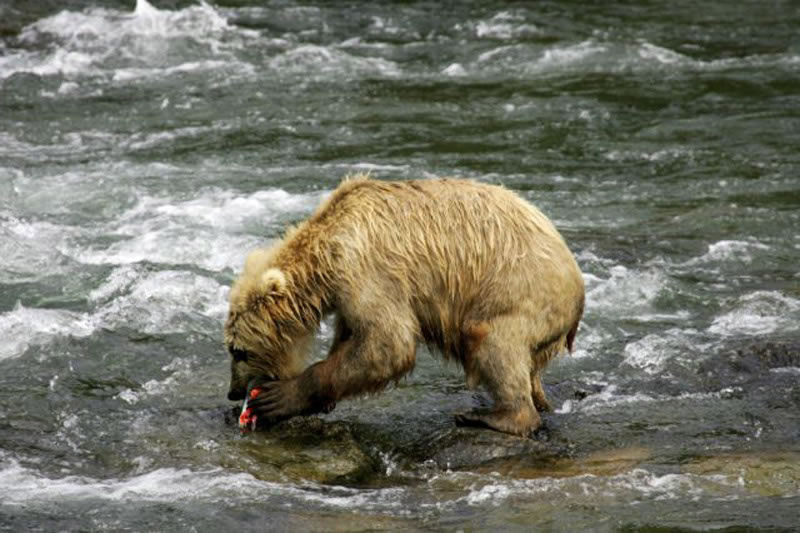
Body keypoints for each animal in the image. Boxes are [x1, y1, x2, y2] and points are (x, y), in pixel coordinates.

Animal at [222, 176, 584, 436]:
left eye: (239, 351)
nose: (233, 392)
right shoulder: (346, 295)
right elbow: (354, 340)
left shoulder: (367, 270)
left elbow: (388, 343)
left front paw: (278, 398)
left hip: (518, 292)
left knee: (492, 340)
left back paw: (492, 415)